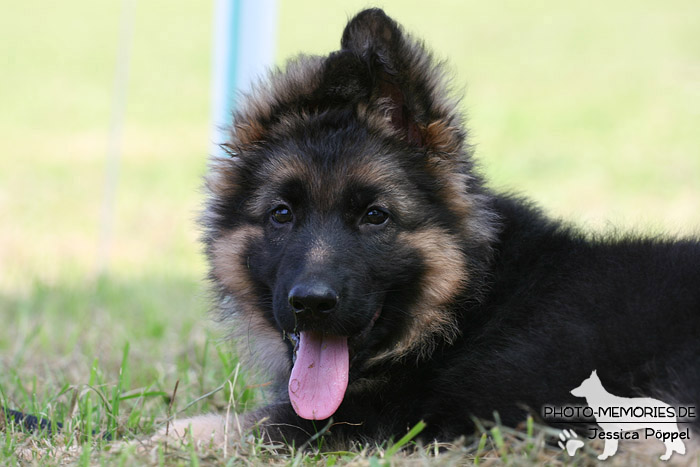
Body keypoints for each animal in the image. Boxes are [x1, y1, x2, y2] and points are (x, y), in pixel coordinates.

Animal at [165, 8, 700, 454]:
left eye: (375, 216)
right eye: (281, 214)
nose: (311, 303)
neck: (469, 306)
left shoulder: (434, 418)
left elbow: (252, 423)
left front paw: (174, 435)